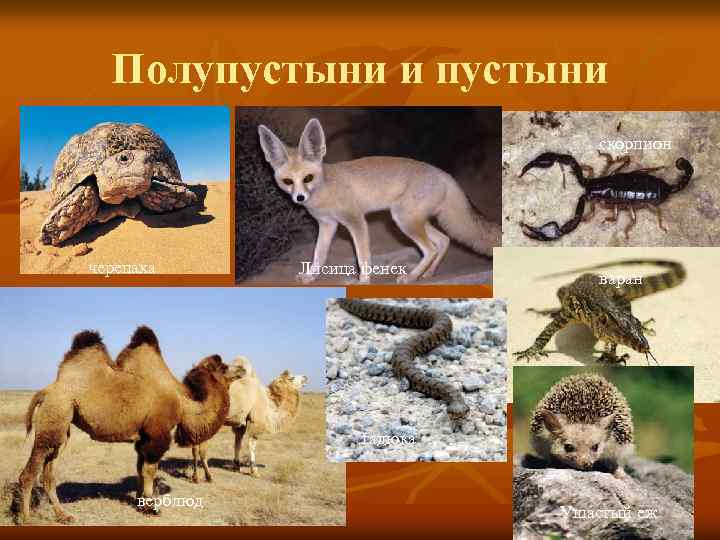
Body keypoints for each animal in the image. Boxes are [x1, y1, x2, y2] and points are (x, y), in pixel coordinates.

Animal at [18, 326, 244, 524]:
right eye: (224, 367)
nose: (242, 369)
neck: (183, 402)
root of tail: (45, 391)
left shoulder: (143, 437)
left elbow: (139, 468)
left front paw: (139, 501)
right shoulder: (157, 434)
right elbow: (150, 470)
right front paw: (151, 507)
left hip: (62, 426)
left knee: (49, 474)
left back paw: (64, 516)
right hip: (55, 412)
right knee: (29, 472)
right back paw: (27, 519)